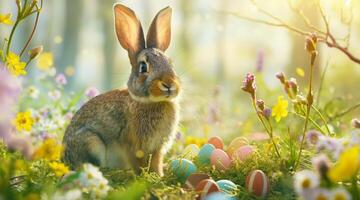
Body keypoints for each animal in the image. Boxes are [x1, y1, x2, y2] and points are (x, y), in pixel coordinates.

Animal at [62, 2, 180, 175]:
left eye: (170, 63)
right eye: (143, 67)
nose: (169, 84)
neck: (149, 101)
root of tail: (64, 159)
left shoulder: (157, 148)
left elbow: (156, 163)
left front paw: (159, 176)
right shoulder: (132, 145)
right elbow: (138, 163)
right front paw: (144, 177)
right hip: (91, 142)